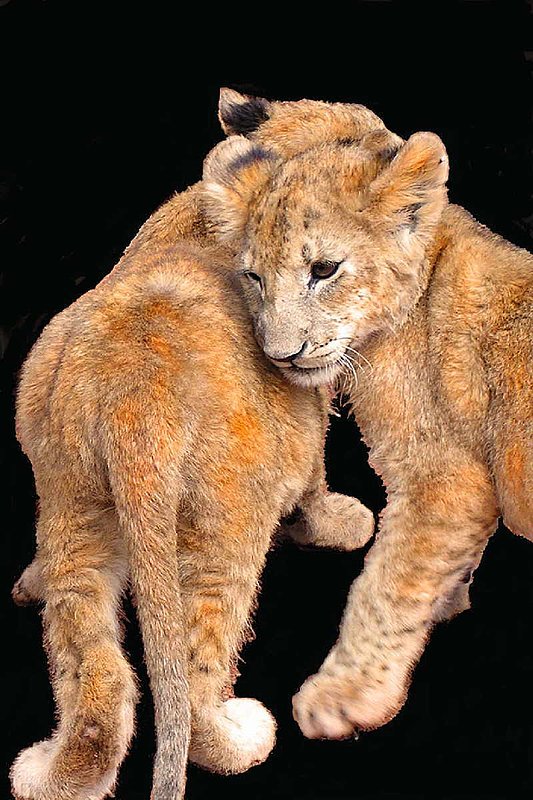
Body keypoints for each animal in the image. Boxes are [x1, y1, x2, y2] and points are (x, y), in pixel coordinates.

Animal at [10, 94, 383, 800]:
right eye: (371, 145)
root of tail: (129, 394)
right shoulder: (308, 402)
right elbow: (317, 477)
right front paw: (336, 524)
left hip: (73, 494)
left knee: (90, 656)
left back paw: (55, 769)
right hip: (224, 518)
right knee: (197, 662)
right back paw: (239, 737)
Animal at [202, 91, 532, 742]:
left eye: (324, 270)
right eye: (254, 277)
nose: (281, 355)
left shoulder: (443, 479)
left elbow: (385, 584)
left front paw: (342, 696)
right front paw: (451, 596)